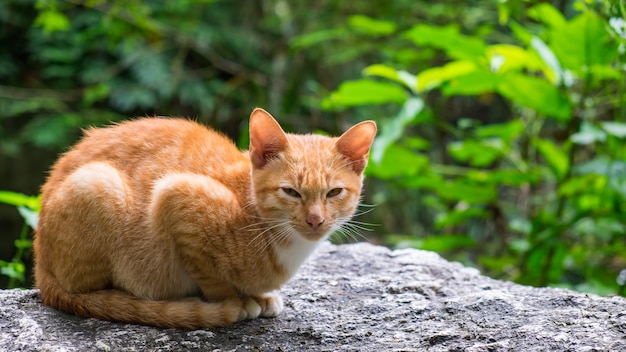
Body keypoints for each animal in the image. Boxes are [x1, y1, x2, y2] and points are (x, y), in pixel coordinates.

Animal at [33, 108, 376, 330]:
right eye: (291, 192)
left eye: (333, 192)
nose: (316, 220)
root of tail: (41, 267)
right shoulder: (176, 196)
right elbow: (211, 277)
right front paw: (237, 301)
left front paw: (259, 296)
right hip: (97, 181)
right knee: (87, 291)